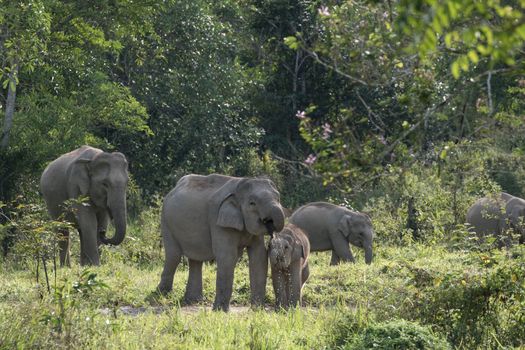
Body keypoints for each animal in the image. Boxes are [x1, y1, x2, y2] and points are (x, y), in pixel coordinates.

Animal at [157, 175, 284, 312]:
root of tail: (174, 188)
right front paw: (220, 311)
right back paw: (161, 294)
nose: (272, 233)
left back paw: (193, 300)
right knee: (173, 256)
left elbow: (259, 257)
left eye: (278, 198)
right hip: (165, 221)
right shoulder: (218, 221)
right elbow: (227, 257)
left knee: (195, 260)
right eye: (252, 203)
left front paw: (257, 310)